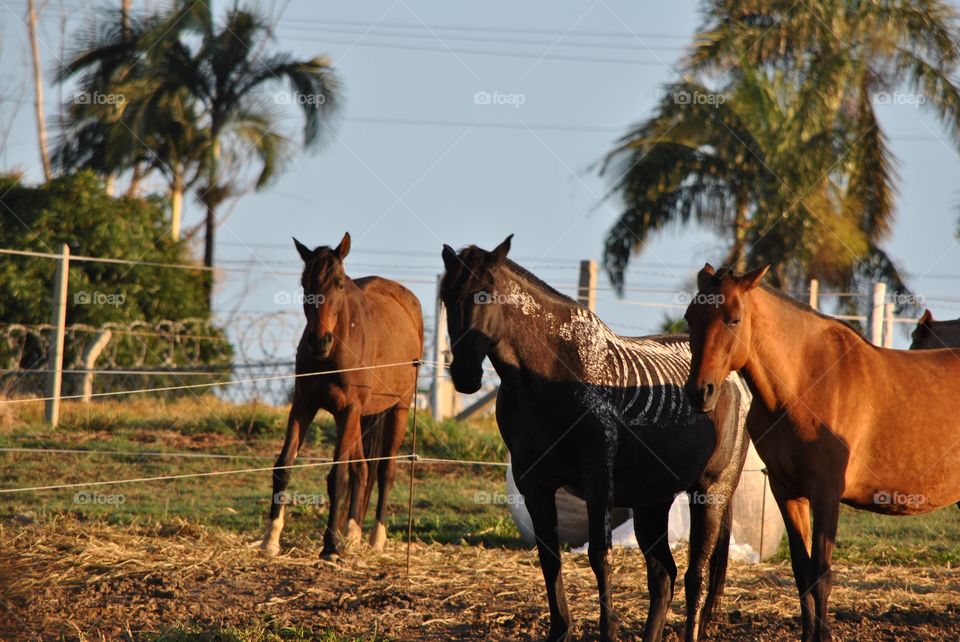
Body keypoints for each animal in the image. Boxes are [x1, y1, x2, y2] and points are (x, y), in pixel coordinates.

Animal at [260, 232, 423, 560]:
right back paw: (352, 534)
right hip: (358, 417)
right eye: (305, 283)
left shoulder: (347, 409)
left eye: (338, 283)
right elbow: (284, 465)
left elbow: (338, 478)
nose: (319, 341)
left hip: (397, 409)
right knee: (362, 469)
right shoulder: (304, 405)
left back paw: (375, 538)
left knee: (385, 470)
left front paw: (329, 547)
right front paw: (270, 539)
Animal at [440, 236, 750, 642]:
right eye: (446, 297)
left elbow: (598, 556)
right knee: (663, 575)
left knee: (695, 577)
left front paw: (608, 630)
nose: (464, 376)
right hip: (653, 501)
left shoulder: (597, 478)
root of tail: (732, 377)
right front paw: (560, 629)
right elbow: (549, 557)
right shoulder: (532, 483)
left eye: (485, 294)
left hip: (712, 491)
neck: (549, 373)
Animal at [683, 264, 960, 642]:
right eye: (690, 317)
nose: (700, 393)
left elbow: (821, 576)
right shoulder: (788, 493)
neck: (804, 384)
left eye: (734, 319)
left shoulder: (826, 495)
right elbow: (802, 573)